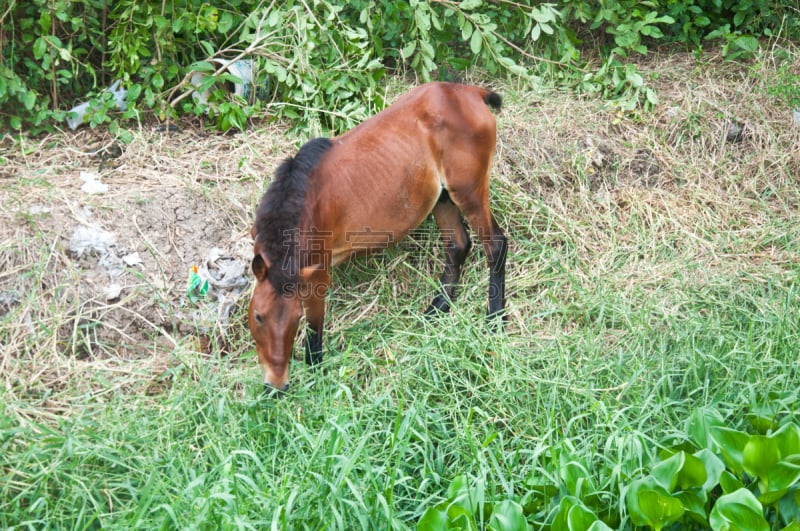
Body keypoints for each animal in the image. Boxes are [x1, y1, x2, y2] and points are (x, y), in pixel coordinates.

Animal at [248, 82, 506, 390]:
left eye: (294, 318)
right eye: (258, 316)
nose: (276, 385)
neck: (302, 200)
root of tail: (469, 91)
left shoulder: (317, 275)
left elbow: (315, 328)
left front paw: (315, 373)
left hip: (469, 193)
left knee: (495, 246)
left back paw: (495, 317)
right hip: (443, 198)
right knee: (458, 246)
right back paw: (437, 308)